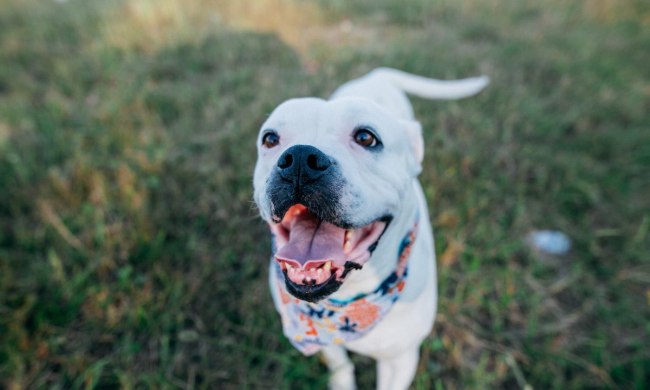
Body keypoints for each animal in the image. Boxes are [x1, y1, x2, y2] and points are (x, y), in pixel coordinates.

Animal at [253, 68, 486, 388]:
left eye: (366, 137)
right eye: (270, 138)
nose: (299, 158)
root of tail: (377, 74)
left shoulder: (399, 359)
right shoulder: (327, 340)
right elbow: (340, 363)